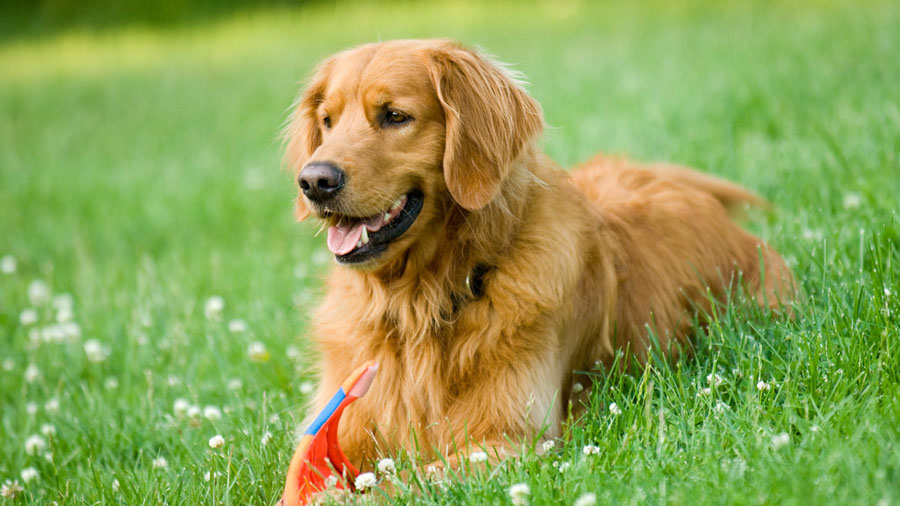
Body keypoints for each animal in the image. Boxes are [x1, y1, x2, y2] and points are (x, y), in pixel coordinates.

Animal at [284, 39, 796, 474]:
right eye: (328, 121)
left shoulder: (512, 437)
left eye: (394, 116)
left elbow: (398, 483)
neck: (420, 303)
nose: (314, 181)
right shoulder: (341, 426)